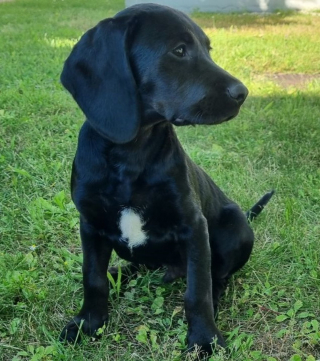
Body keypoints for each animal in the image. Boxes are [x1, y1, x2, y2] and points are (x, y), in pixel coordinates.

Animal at [59, 3, 272, 354]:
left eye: (208, 49)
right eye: (179, 51)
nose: (242, 93)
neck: (132, 154)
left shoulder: (194, 225)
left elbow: (197, 290)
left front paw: (204, 339)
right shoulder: (89, 224)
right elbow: (93, 278)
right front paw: (88, 323)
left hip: (236, 225)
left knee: (218, 277)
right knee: (138, 264)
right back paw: (120, 271)